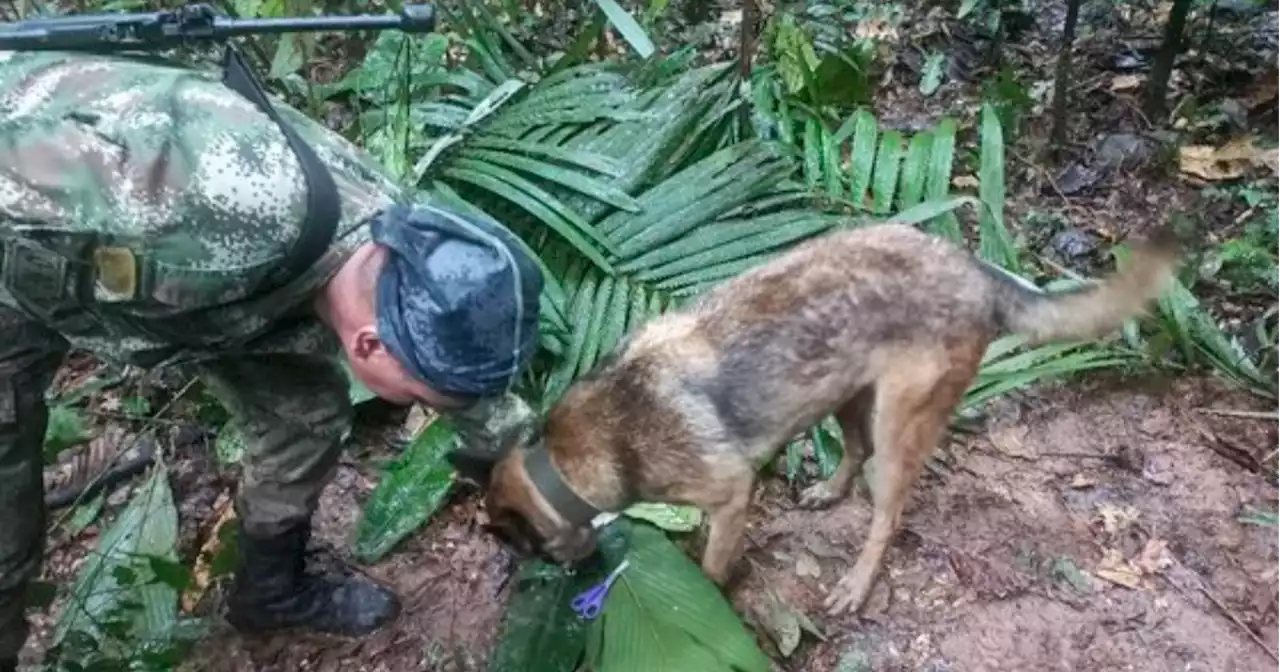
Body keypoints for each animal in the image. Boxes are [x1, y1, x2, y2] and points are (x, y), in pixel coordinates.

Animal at [473, 222, 1177, 616]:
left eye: (520, 547)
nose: (567, 578)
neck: (574, 454)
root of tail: (974, 268)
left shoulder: (730, 496)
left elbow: (711, 566)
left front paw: (707, 596)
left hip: (899, 423)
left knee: (887, 512)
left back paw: (857, 585)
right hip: (845, 392)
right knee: (855, 449)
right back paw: (828, 492)